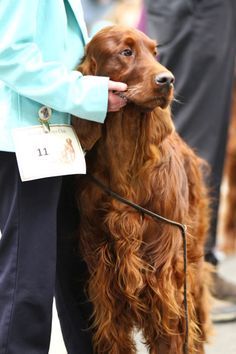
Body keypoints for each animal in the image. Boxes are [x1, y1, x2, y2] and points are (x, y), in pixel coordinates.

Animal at [73, 25, 211, 354]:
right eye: (126, 52)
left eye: (155, 52)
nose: (168, 80)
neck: (127, 165)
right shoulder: (103, 273)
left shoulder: (164, 275)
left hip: (192, 256)